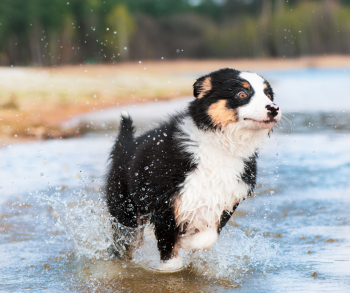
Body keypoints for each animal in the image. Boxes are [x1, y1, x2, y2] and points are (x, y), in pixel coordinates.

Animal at [105, 68, 280, 272]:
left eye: (268, 95)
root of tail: (124, 147)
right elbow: (169, 249)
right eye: (241, 94)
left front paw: (186, 241)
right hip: (126, 212)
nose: (274, 108)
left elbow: (207, 238)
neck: (220, 147)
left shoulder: (226, 201)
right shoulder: (165, 202)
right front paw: (171, 263)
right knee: (123, 244)